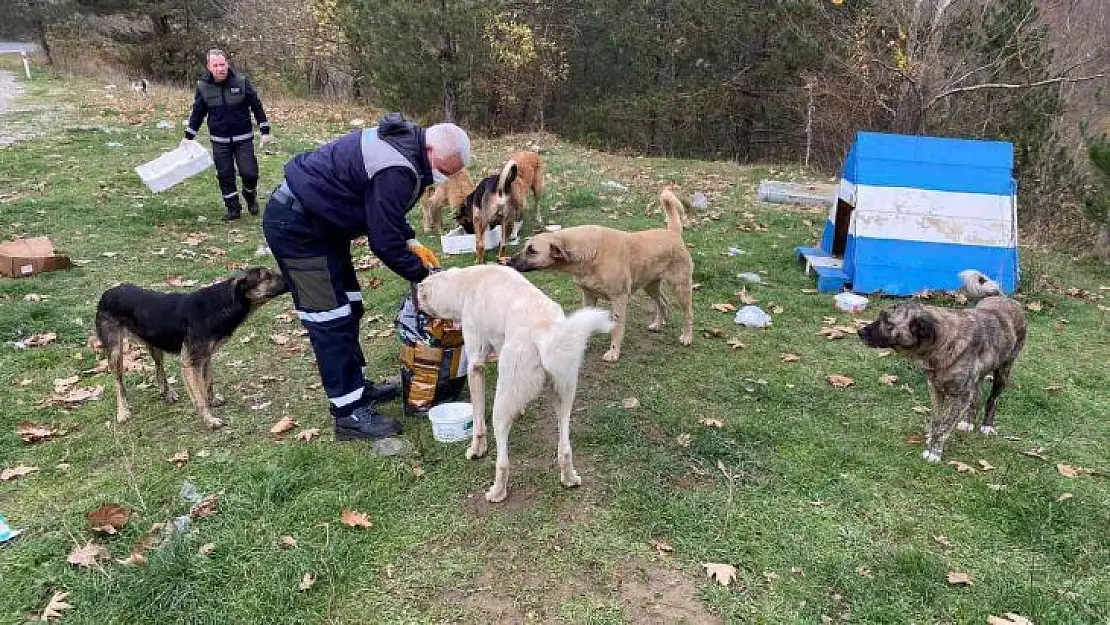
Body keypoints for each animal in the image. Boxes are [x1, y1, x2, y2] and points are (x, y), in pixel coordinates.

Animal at [96, 264, 288, 430]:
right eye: (267, 276)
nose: (288, 277)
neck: (221, 304)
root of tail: (107, 292)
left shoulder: (206, 358)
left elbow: (208, 383)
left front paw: (213, 401)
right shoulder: (189, 363)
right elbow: (200, 396)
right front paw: (210, 420)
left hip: (155, 343)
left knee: (159, 369)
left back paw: (167, 393)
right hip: (115, 352)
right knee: (119, 383)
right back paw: (123, 411)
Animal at [415, 264, 612, 503]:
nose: (415, 301)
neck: (465, 282)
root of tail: (544, 332)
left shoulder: (475, 366)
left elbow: (478, 422)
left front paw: (476, 450)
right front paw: (521, 410)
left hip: (501, 406)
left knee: (503, 461)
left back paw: (497, 492)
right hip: (564, 398)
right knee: (565, 448)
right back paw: (570, 479)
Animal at [506, 188, 692, 361]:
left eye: (532, 251)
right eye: (526, 247)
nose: (508, 262)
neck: (590, 252)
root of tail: (673, 232)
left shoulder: (619, 298)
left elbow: (617, 328)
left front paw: (614, 352)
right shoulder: (588, 296)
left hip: (681, 287)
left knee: (688, 313)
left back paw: (687, 337)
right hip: (650, 285)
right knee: (663, 302)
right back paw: (658, 325)